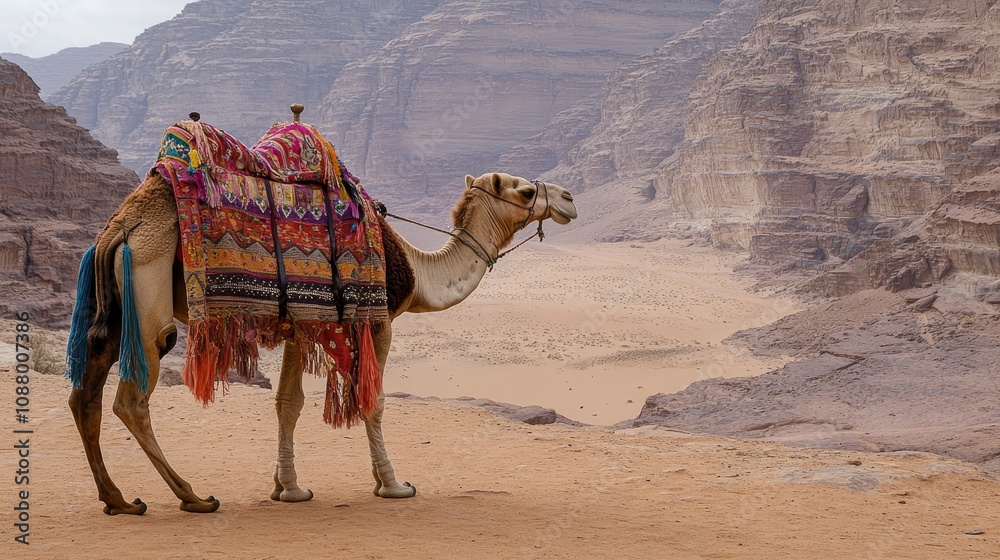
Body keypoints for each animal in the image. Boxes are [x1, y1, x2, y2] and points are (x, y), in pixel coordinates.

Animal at [68, 169, 578, 514]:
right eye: (525, 191)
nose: (570, 199)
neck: (416, 270)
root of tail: (121, 226)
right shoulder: (377, 322)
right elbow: (373, 401)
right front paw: (393, 485)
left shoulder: (301, 327)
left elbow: (287, 403)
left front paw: (287, 488)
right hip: (148, 297)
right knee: (131, 400)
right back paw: (193, 496)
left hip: (114, 312)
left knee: (84, 394)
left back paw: (118, 500)